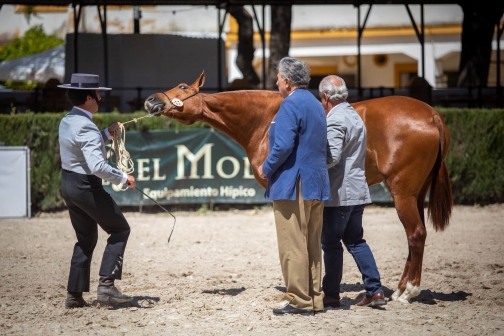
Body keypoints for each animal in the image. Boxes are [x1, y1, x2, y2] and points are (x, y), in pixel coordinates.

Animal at [145, 71, 452, 304]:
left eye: (183, 87)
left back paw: (408, 292)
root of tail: (432, 114)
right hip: (416, 194)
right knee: (414, 238)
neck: (265, 120)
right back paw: (398, 290)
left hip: (403, 193)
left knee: (416, 234)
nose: (151, 100)